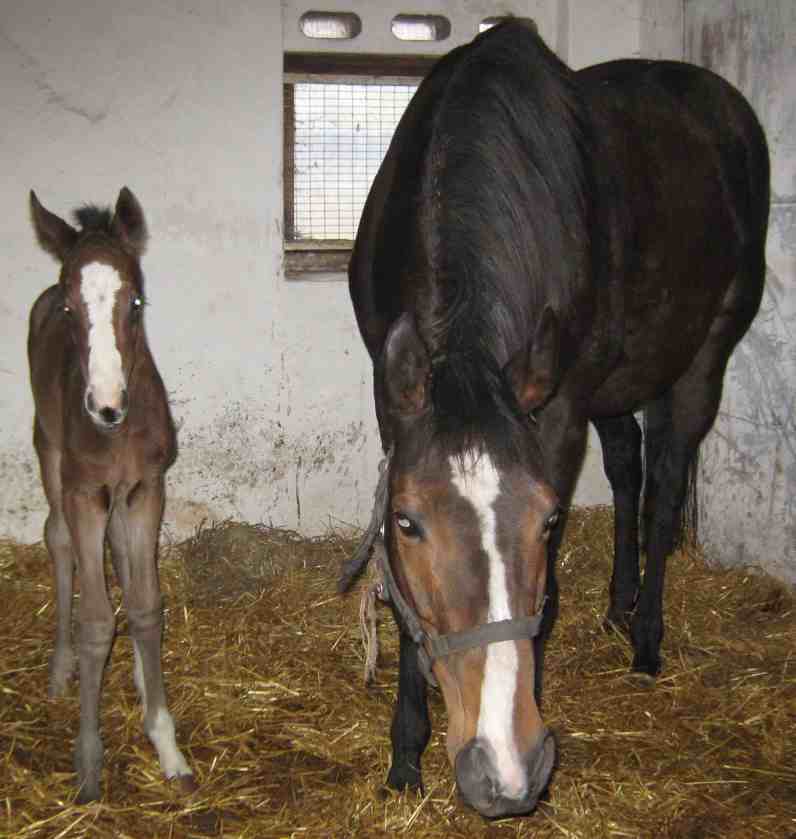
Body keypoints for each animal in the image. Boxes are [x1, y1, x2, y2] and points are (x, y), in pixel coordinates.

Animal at [340, 19, 764, 820]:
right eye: (407, 522)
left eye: (549, 522)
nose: (505, 767)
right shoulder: (391, 399)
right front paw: (405, 752)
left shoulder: (559, 414)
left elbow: (550, 590)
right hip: (619, 385)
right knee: (629, 469)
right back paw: (619, 606)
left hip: (702, 360)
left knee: (664, 487)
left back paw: (645, 639)